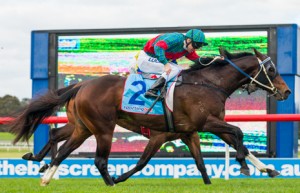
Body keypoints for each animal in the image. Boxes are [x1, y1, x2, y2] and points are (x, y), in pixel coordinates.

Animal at [8, 47, 290, 185]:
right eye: (272, 70)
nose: (286, 91)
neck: (209, 84)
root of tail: (82, 85)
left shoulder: (190, 131)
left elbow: (203, 162)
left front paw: (266, 169)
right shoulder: (204, 123)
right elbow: (239, 133)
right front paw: (244, 165)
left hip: (83, 126)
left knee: (61, 141)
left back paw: (43, 169)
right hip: (103, 128)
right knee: (98, 160)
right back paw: (105, 182)